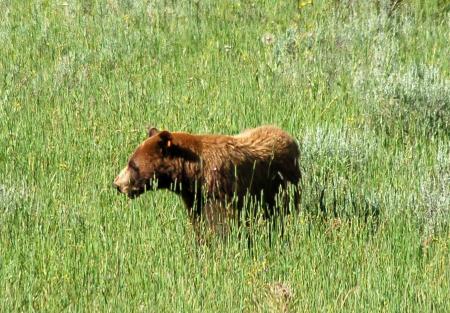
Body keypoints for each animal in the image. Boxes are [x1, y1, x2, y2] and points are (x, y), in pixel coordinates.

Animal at [113, 125, 302, 235]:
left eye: (132, 164)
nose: (117, 184)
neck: (194, 175)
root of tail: (289, 137)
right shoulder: (195, 198)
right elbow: (199, 222)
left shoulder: (219, 191)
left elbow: (222, 223)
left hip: (282, 184)